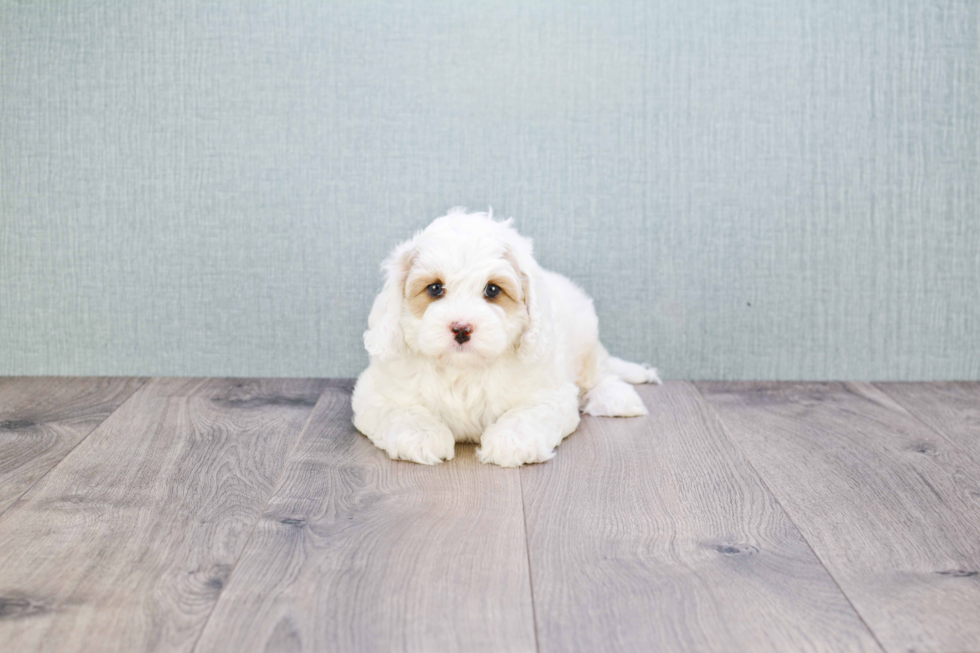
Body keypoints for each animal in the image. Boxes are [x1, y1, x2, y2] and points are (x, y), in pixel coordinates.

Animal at [348, 206, 664, 466]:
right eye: (435, 288)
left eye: (492, 290)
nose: (461, 328)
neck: (463, 370)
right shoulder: (375, 393)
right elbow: (402, 411)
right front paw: (422, 435)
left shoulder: (549, 393)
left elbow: (527, 414)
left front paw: (511, 441)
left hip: (586, 337)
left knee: (598, 372)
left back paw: (617, 398)